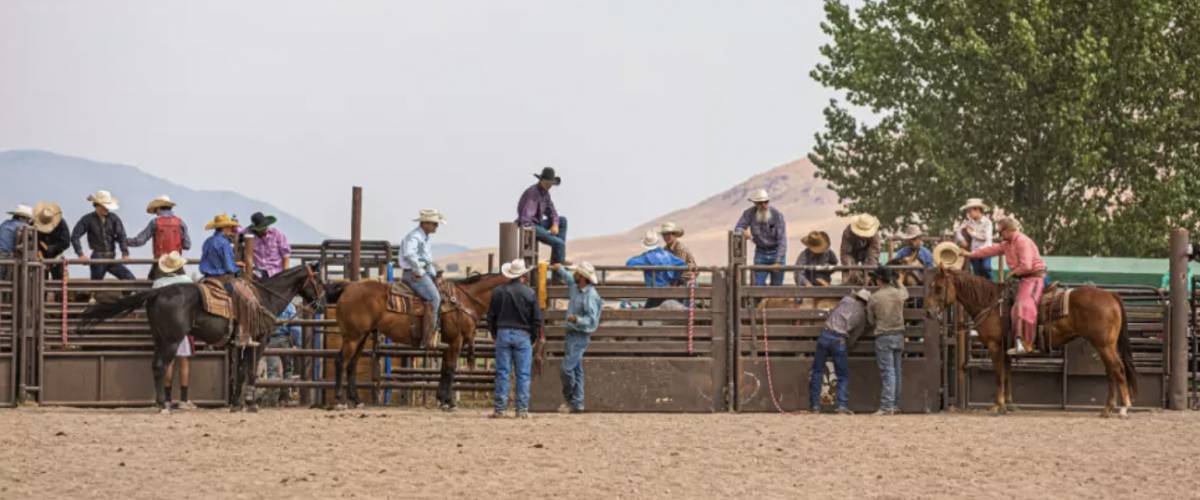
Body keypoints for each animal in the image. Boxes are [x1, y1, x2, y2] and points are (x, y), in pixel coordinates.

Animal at [80, 264, 326, 412]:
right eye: (320, 282)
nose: (322, 303)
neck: (264, 298)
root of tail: (158, 292)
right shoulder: (259, 342)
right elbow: (250, 372)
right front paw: (251, 404)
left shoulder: (239, 344)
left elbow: (239, 372)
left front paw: (235, 404)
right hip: (171, 340)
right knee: (160, 366)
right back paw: (163, 405)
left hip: (160, 339)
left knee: (155, 365)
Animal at [329, 273, 511, 411]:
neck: (464, 301)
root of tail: (348, 288)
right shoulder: (455, 340)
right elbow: (450, 369)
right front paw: (450, 403)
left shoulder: (448, 343)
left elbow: (444, 369)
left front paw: (442, 399)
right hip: (353, 337)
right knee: (340, 361)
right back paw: (339, 400)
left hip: (362, 336)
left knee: (351, 365)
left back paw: (356, 400)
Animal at [925, 268, 1138, 418]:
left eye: (938, 288)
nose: (928, 311)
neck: (991, 304)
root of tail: (1110, 295)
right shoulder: (1006, 349)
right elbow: (1007, 375)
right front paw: (1009, 405)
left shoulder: (995, 346)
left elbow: (998, 376)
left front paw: (997, 406)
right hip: (1105, 346)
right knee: (1111, 372)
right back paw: (1107, 409)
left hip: (1104, 345)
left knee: (1117, 369)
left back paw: (1123, 408)